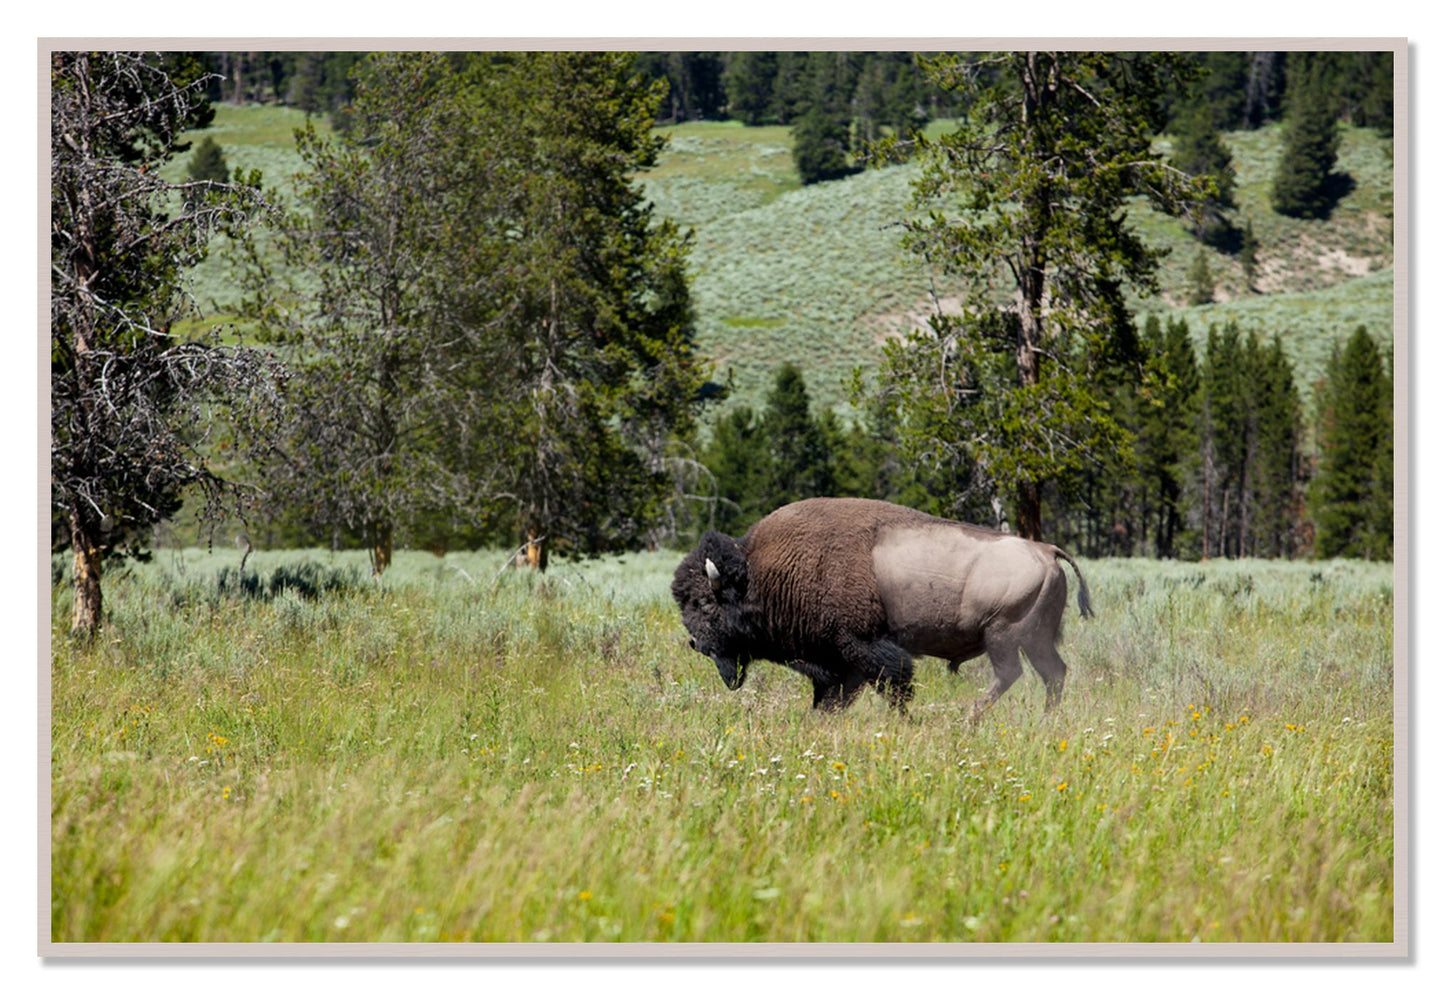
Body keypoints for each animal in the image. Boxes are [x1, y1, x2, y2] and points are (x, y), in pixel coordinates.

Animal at [671, 497, 1093, 719]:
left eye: (705, 604)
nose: (696, 643)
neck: (761, 573)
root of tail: (1046, 550)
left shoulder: (862, 647)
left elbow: (893, 684)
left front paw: (904, 720)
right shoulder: (837, 663)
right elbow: (832, 698)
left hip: (1002, 635)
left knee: (1011, 674)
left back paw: (969, 718)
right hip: (1035, 639)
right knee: (1053, 673)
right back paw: (1045, 719)